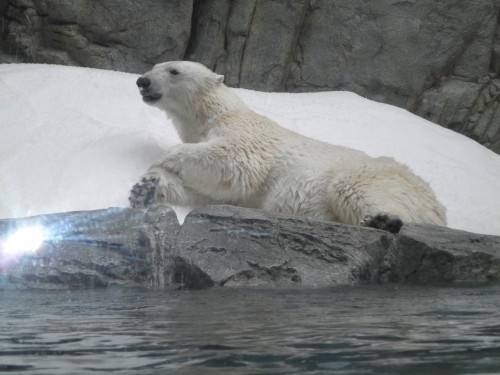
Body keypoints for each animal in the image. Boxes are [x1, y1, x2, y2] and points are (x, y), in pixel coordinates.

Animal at [129, 61, 446, 232]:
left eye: (174, 70)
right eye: (154, 67)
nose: (142, 81)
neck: (216, 114)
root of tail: (437, 205)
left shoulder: (246, 132)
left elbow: (238, 162)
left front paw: (163, 159)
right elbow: (212, 192)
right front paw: (144, 189)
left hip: (379, 175)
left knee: (355, 188)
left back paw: (383, 221)